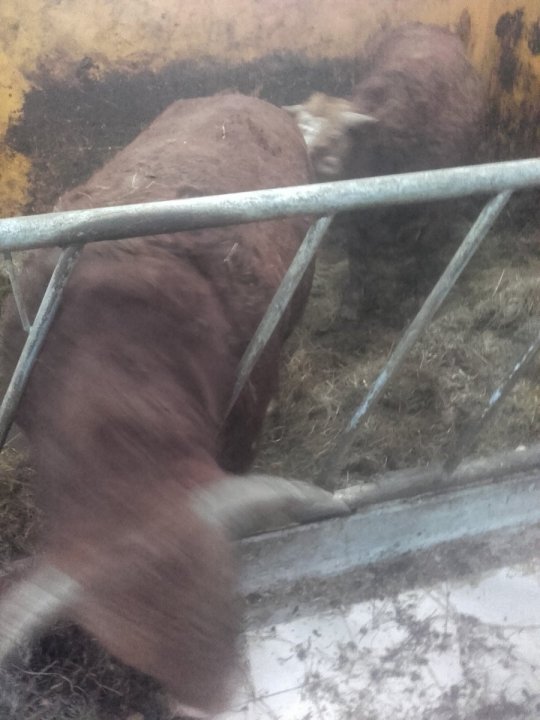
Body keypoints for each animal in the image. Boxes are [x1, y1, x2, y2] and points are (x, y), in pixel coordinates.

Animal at [285, 23, 486, 321]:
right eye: (298, 132)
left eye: (332, 139)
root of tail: (424, 27)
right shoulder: (355, 211)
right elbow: (358, 253)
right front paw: (352, 301)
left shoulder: (438, 205)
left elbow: (424, 248)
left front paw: (417, 293)